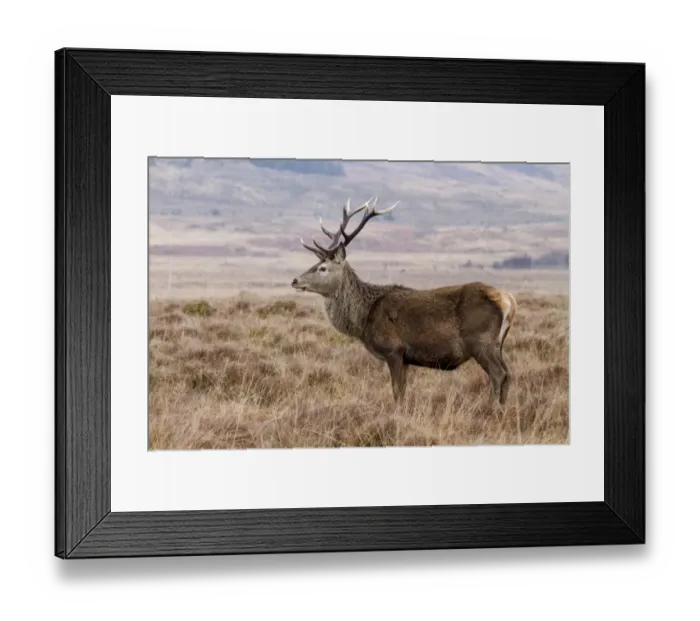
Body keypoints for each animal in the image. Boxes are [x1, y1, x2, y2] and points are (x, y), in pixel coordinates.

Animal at [291, 197, 517, 408]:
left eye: (323, 268)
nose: (295, 280)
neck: (364, 319)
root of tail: (509, 301)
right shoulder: (407, 358)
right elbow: (404, 390)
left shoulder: (393, 350)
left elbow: (397, 391)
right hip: (497, 344)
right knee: (508, 374)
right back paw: (502, 408)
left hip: (480, 341)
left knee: (498, 374)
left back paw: (491, 409)